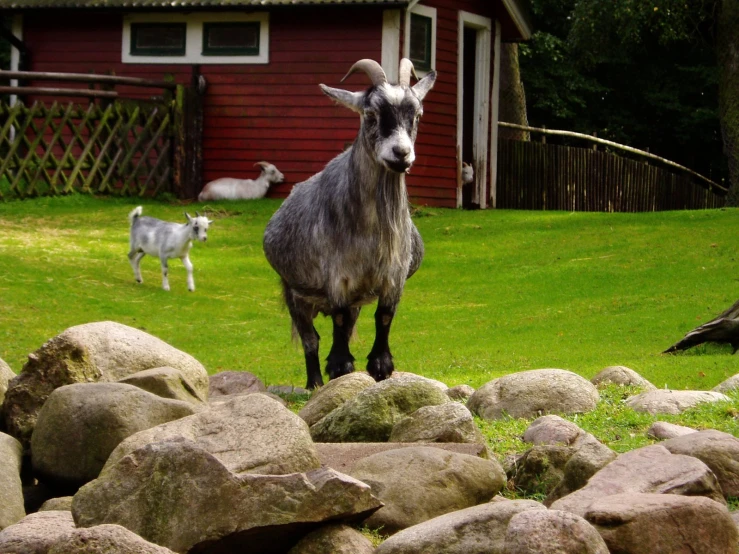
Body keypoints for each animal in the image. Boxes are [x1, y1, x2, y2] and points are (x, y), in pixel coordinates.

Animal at [264, 58, 436, 388]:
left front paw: (380, 366)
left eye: (417, 115)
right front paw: (340, 366)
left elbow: (384, 316)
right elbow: (339, 321)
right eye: (371, 114)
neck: (371, 234)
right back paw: (314, 383)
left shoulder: (392, 278)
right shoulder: (337, 278)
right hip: (294, 292)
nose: (401, 153)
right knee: (311, 339)